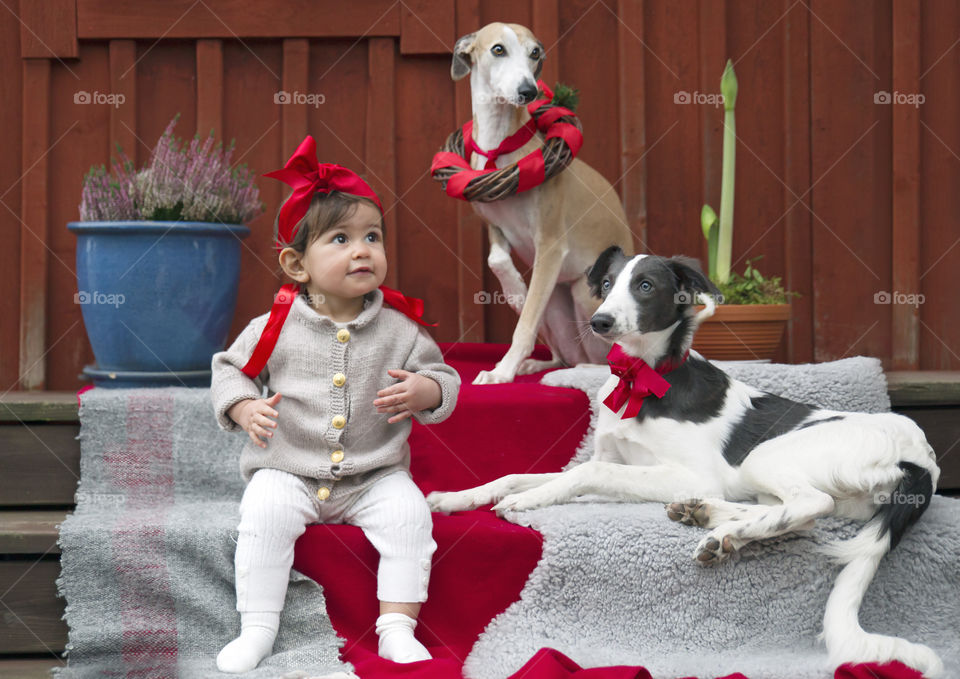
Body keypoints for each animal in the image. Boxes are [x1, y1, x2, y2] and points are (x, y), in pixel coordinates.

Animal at [430, 251, 944, 679]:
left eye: (645, 286)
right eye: (608, 283)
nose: (599, 322)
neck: (640, 380)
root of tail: (921, 458)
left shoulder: (689, 472)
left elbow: (586, 473)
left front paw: (526, 502)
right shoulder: (619, 458)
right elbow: (516, 473)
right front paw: (456, 497)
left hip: (769, 456)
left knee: (809, 505)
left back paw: (723, 530)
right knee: (794, 516)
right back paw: (710, 519)